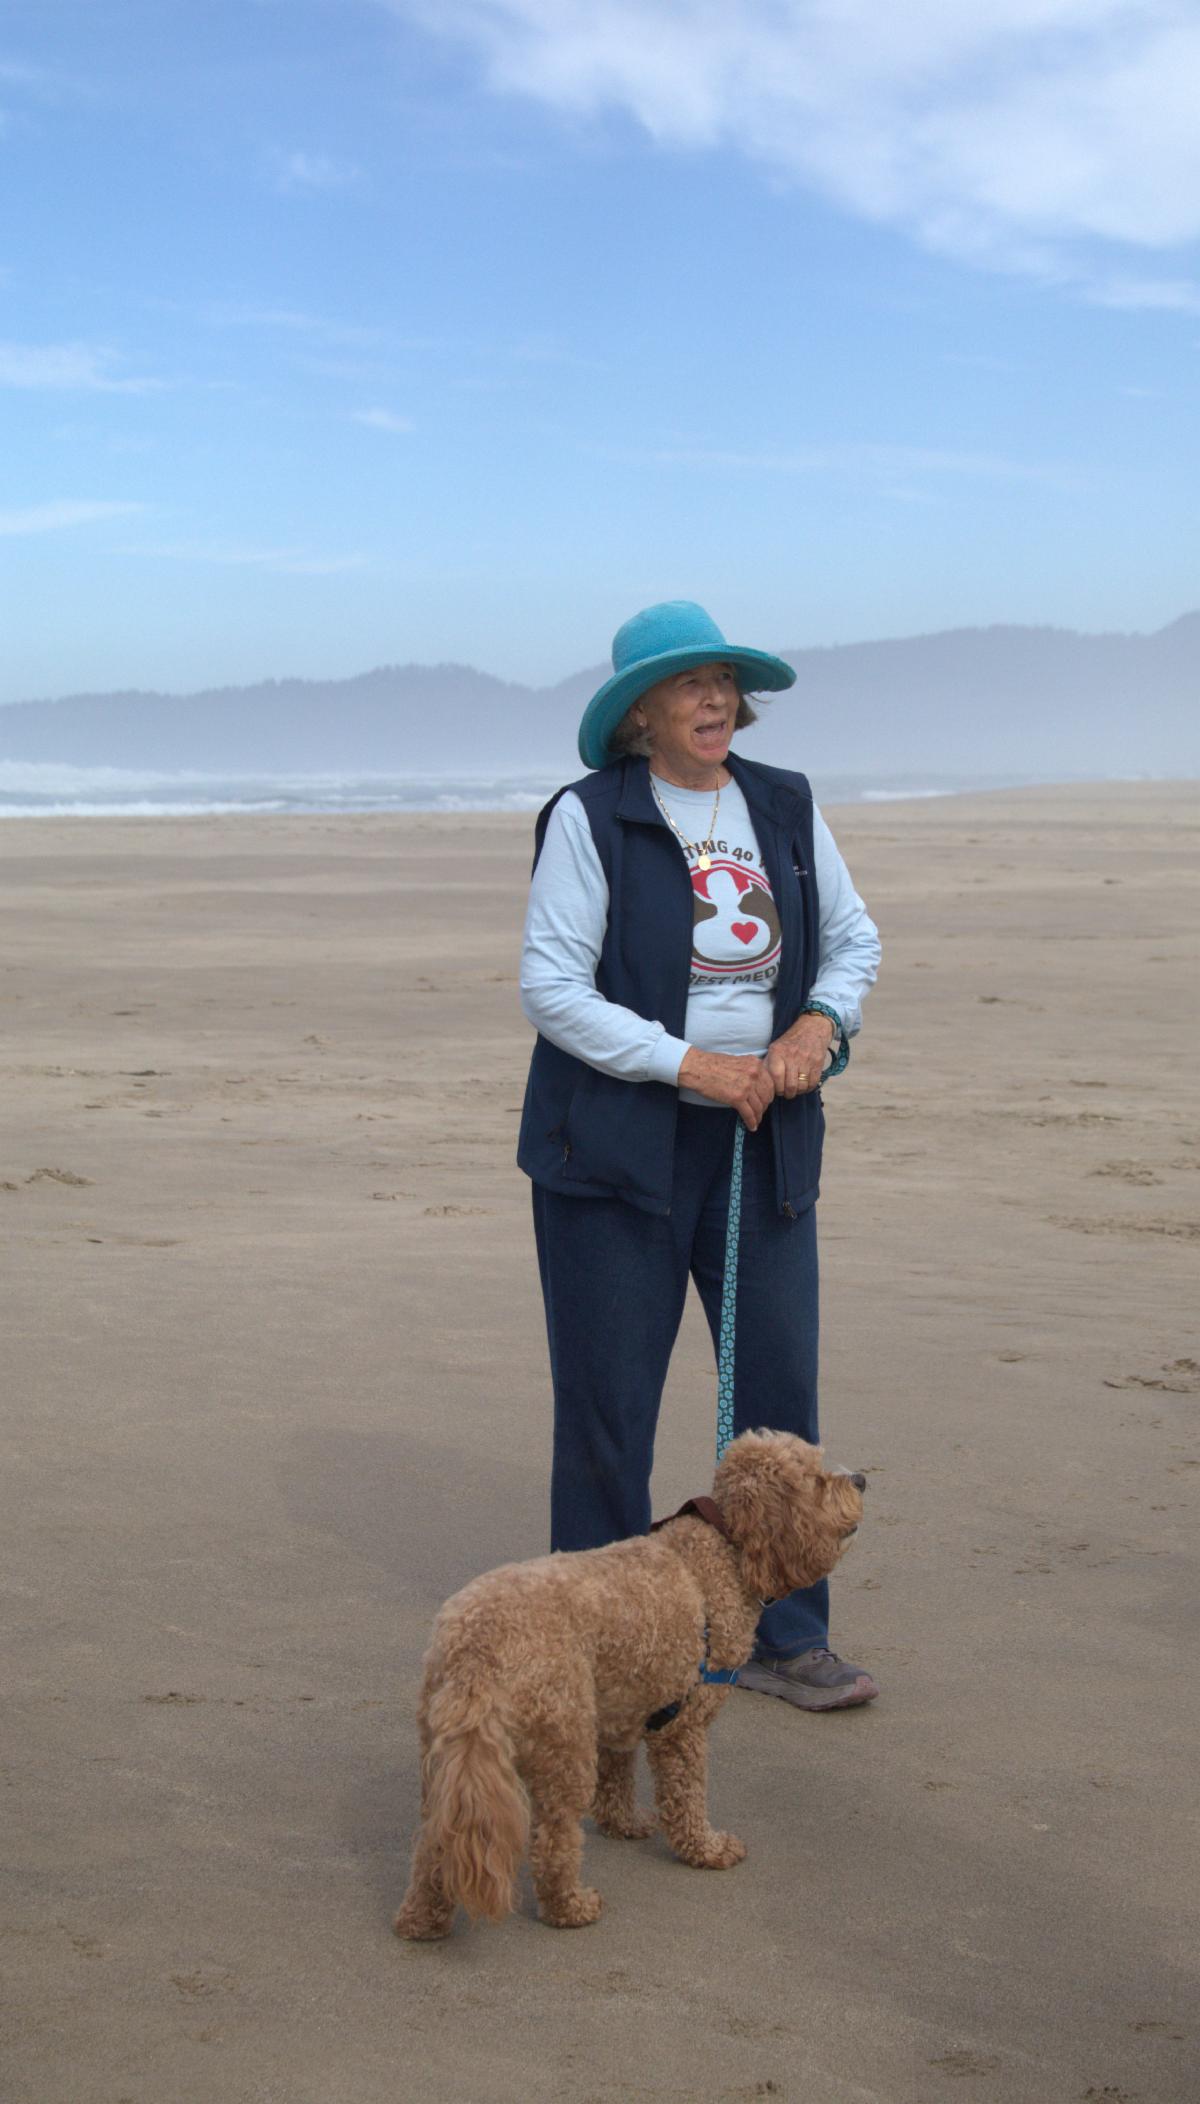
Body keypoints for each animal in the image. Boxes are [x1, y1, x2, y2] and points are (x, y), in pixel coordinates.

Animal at [394, 1430, 867, 1938]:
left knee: (435, 1841)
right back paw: (570, 1907)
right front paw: (706, 1849)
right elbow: (687, 1797)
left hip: (448, 1754)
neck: (722, 1548)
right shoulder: (683, 1726)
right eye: (817, 1480)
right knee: (552, 1841)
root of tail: (476, 1649)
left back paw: (422, 1921)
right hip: (564, 1749)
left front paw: (623, 1823)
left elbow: (618, 1776)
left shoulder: (622, 1706)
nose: (861, 1479)